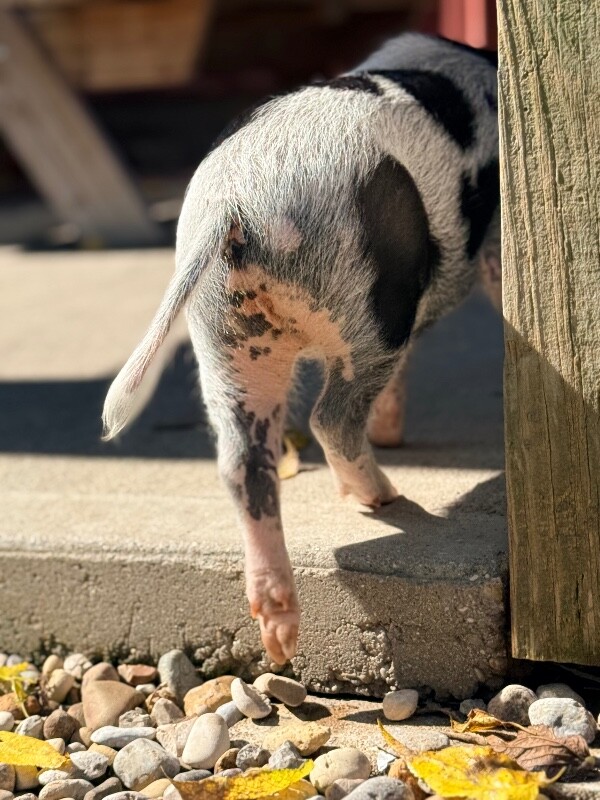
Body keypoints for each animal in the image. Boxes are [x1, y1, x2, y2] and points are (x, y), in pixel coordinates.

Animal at [102, 33, 501, 665]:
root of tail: (233, 203)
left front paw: (393, 431)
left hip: (225, 333)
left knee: (243, 461)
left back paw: (280, 635)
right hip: (370, 308)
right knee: (329, 417)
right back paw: (383, 498)